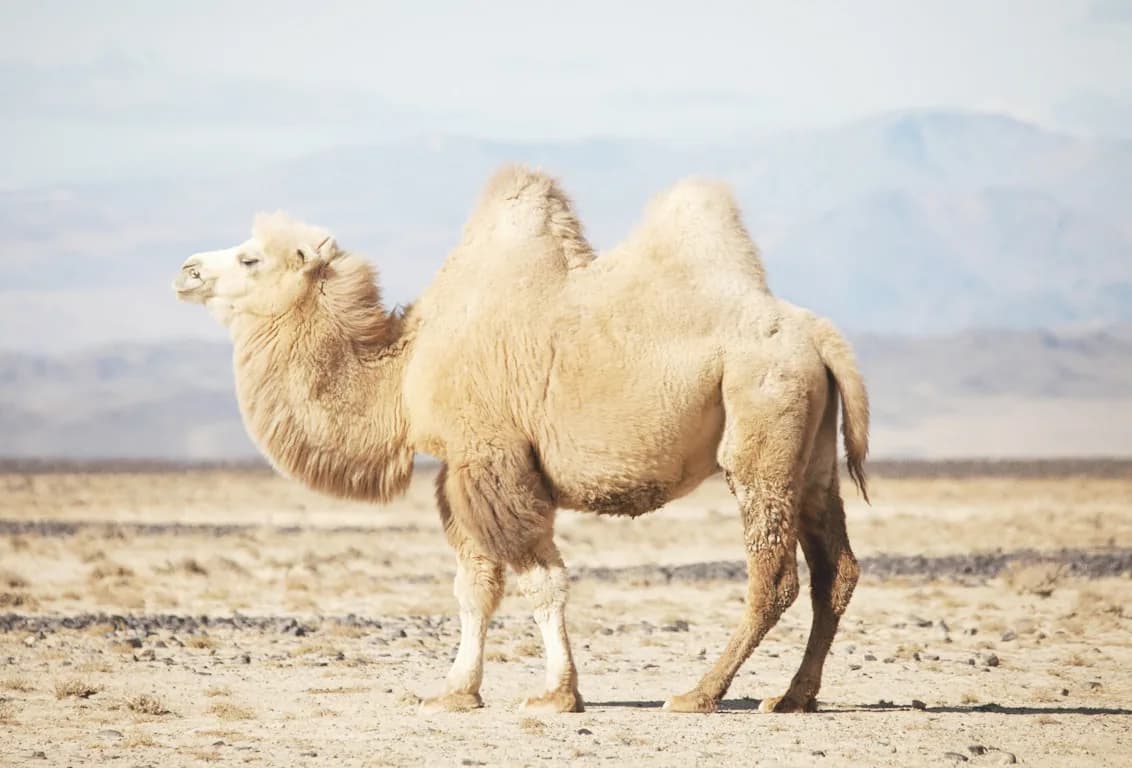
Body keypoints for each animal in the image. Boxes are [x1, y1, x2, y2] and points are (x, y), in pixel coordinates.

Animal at [171, 165, 869, 715]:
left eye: (251, 258)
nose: (186, 270)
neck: (405, 368)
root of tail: (819, 334)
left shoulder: (493, 458)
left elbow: (539, 580)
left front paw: (557, 694)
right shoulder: (461, 469)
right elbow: (475, 586)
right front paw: (455, 691)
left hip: (760, 424)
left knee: (773, 574)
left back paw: (699, 694)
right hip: (810, 454)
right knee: (835, 570)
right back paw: (793, 696)